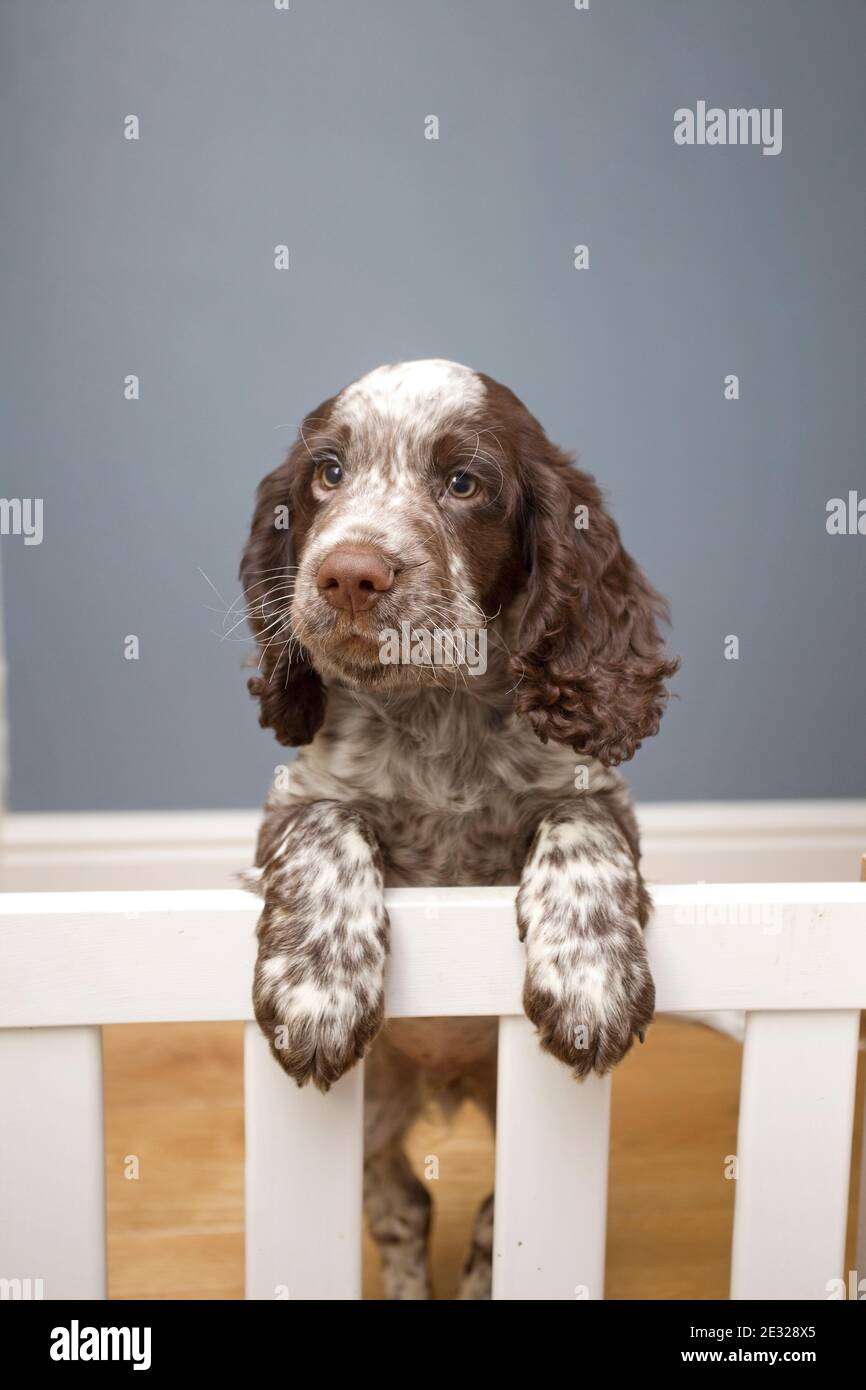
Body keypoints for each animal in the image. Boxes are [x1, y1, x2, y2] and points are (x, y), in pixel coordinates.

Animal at [241, 361, 678, 1301]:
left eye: (464, 484)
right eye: (328, 473)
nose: (349, 575)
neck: (434, 714)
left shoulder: (597, 792)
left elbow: (578, 827)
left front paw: (591, 981)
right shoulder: (297, 796)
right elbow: (329, 827)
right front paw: (320, 990)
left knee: (485, 1215)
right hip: (372, 1111)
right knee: (404, 1207)